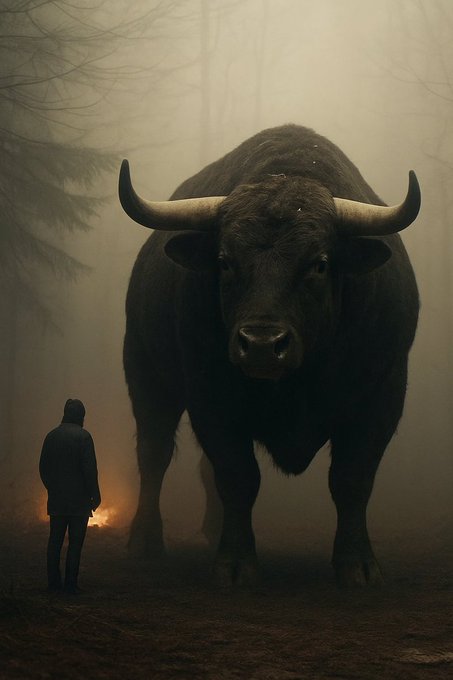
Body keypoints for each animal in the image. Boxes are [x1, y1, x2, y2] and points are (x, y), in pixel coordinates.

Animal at [118, 124, 420, 588]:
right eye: (225, 261)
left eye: (319, 263)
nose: (261, 344)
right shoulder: (210, 397)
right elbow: (237, 476)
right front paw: (235, 562)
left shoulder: (382, 395)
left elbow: (353, 479)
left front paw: (358, 564)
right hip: (146, 372)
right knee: (154, 454)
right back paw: (145, 542)